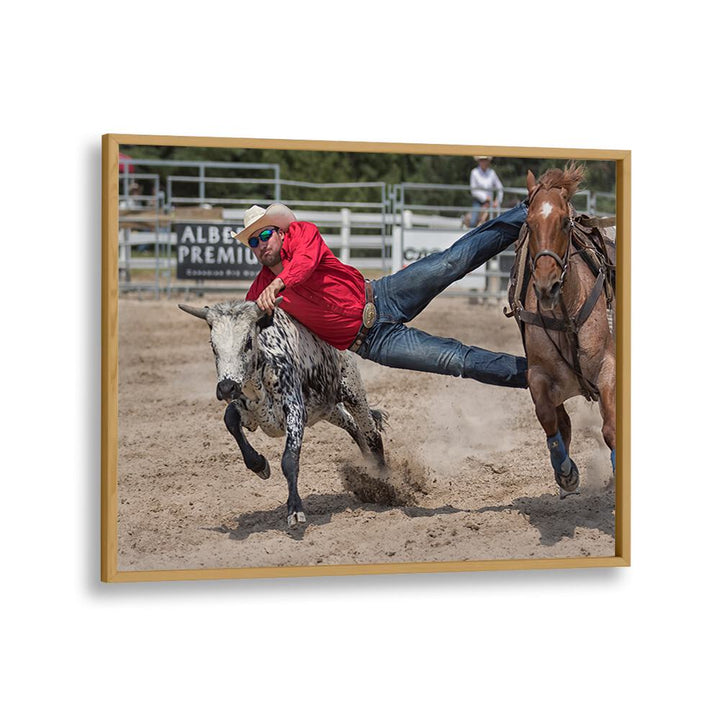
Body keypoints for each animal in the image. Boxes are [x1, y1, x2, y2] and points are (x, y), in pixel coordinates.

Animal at [516, 165, 616, 496]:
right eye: (529, 224)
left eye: (563, 222)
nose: (547, 286)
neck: (566, 312)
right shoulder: (537, 375)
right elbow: (550, 419)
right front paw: (566, 472)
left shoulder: (609, 367)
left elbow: (611, 429)